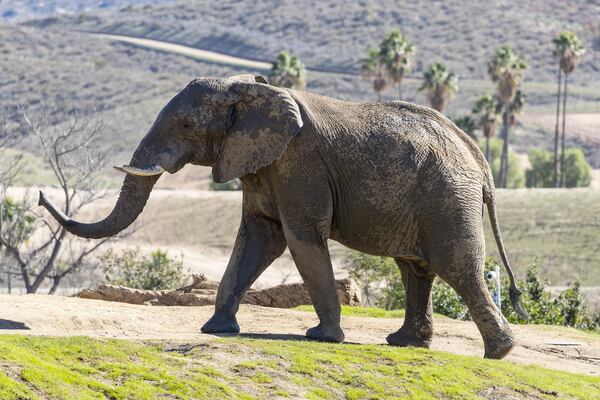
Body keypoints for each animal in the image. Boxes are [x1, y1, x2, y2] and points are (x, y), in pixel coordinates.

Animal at [38, 74, 524, 360]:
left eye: (187, 126)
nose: (41, 196)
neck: (249, 92)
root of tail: (479, 160)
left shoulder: (298, 164)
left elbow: (299, 235)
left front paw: (322, 337)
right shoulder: (260, 162)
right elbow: (258, 237)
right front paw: (216, 329)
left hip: (447, 198)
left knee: (456, 267)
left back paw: (498, 353)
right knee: (415, 268)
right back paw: (406, 343)